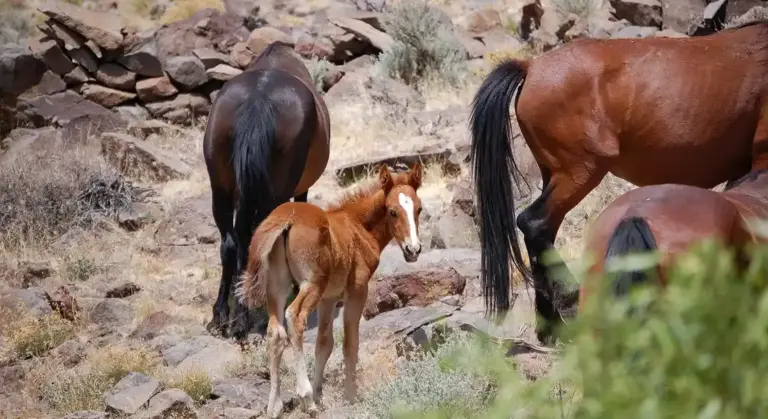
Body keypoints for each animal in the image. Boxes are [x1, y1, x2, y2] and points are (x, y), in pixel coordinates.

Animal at [202, 41, 331, 340]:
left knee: (231, 243)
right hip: (277, 192)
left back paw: (225, 315)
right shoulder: (301, 189)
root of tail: (258, 97)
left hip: (220, 187)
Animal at [235, 163, 424, 418]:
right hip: (312, 284)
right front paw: (350, 396)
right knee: (295, 317)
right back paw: (305, 398)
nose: (413, 250)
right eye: (392, 211)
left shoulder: (329, 299)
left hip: (277, 287)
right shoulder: (357, 291)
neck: (358, 227)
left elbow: (324, 344)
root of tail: (285, 218)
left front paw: (319, 394)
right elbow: (350, 344)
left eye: (419, 209)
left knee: (275, 332)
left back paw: (274, 405)